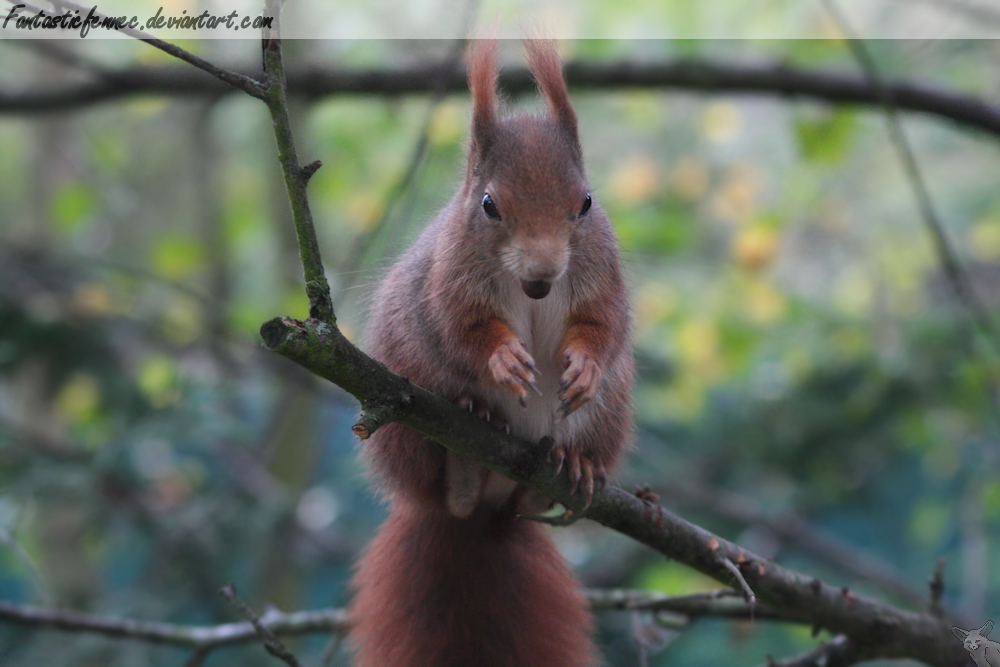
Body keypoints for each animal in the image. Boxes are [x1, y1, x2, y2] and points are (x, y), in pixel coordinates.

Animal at [350, 40, 632, 667]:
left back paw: (573, 466)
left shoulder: (602, 276)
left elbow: (603, 327)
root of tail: (482, 512)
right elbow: (465, 328)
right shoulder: (450, 279)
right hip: (404, 410)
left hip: (609, 415)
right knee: (444, 489)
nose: (544, 272)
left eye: (586, 203)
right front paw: (502, 360)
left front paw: (585, 366)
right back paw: (466, 444)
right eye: (488, 205)